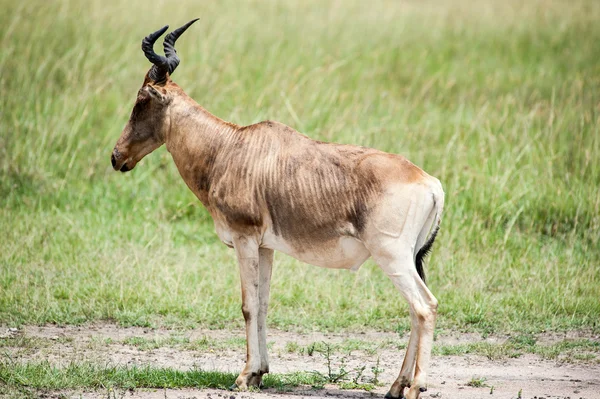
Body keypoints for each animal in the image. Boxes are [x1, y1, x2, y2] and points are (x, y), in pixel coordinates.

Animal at [109, 19, 446, 399]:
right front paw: (259, 373)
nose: (117, 157)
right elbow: (263, 304)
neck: (229, 147)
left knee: (424, 307)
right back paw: (396, 385)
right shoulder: (265, 246)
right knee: (414, 311)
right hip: (410, 258)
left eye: (141, 99)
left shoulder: (243, 239)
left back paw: (415, 387)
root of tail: (429, 182)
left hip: (392, 255)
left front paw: (243, 376)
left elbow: (247, 305)